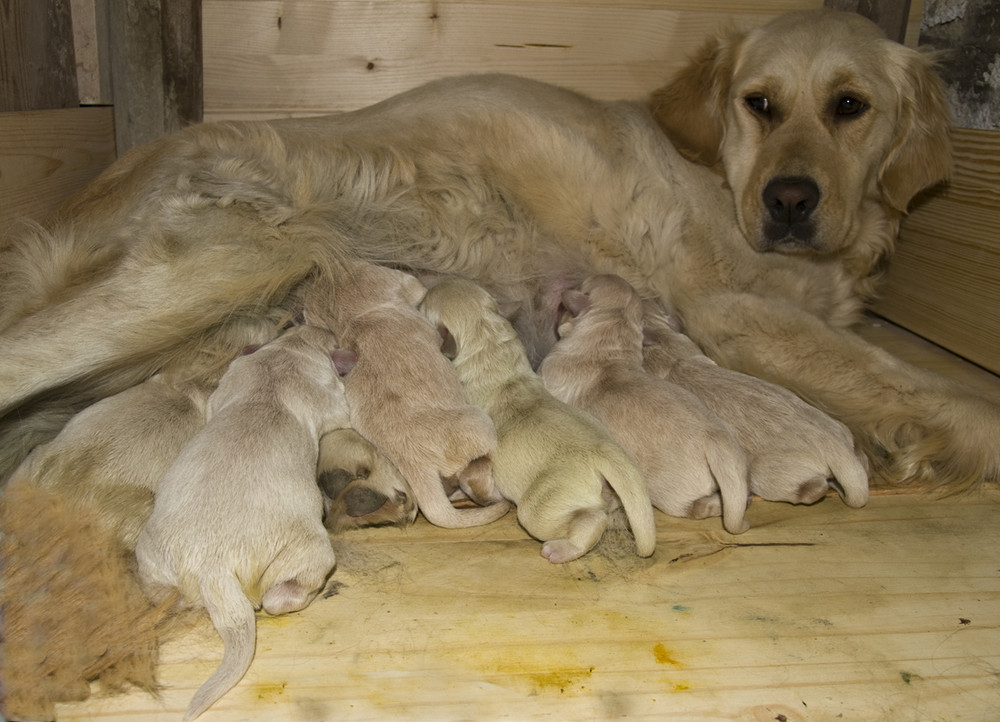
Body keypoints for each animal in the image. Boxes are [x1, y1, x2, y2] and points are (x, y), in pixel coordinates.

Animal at [133, 326, 352, 720]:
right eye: (330, 337)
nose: (325, 329)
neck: (286, 353)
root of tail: (213, 568)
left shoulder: (225, 386)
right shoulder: (331, 398)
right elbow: (342, 407)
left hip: (151, 555)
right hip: (308, 551)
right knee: (281, 596)